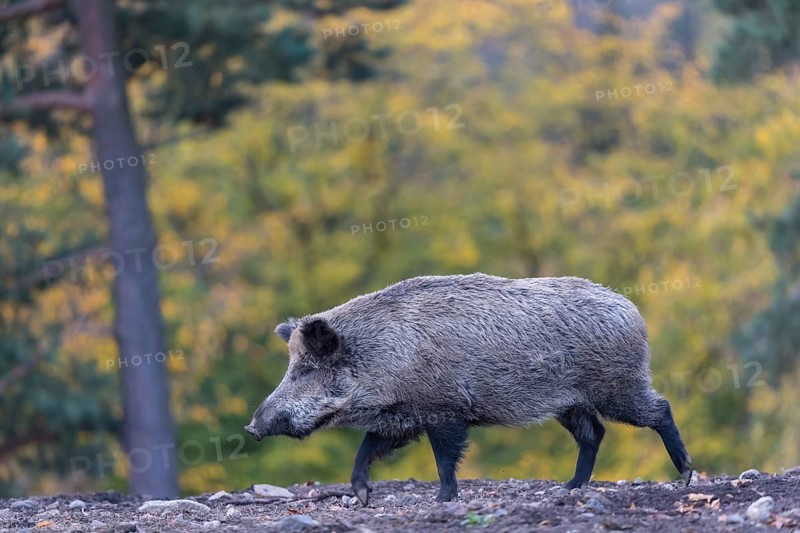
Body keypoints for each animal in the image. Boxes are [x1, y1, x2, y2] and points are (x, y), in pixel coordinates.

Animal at [245, 273, 692, 504]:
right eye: (292, 367)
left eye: (305, 370)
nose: (252, 427)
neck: (385, 356)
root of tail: (633, 311)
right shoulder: (403, 417)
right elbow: (368, 447)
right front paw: (362, 496)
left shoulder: (445, 409)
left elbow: (445, 458)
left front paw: (444, 500)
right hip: (570, 403)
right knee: (593, 433)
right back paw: (569, 487)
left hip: (616, 386)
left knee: (660, 409)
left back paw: (685, 474)